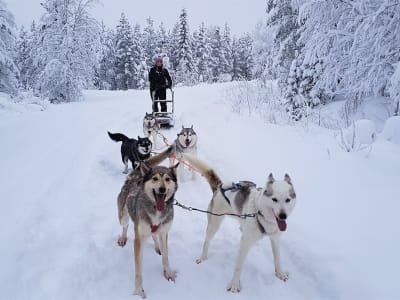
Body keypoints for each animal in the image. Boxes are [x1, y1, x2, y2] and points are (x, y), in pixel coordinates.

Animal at [116, 146, 177, 298]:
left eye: (167, 179)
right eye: (155, 179)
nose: (162, 189)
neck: (156, 210)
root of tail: (135, 177)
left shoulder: (164, 232)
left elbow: (166, 257)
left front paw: (168, 273)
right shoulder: (138, 239)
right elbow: (138, 270)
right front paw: (138, 291)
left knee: (154, 235)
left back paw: (157, 246)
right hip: (123, 217)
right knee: (125, 226)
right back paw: (123, 238)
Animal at [182, 155, 296, 292]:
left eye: (287, 200)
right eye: (274, 199)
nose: (283, 216)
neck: (260, 212)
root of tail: (220, 186)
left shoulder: (275, 239)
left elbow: (277, 259)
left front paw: (280, 274)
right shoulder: (245, 243)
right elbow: (238, 267)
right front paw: (235, 285)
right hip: (214, 223)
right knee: (207, 241)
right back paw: (203, 258)